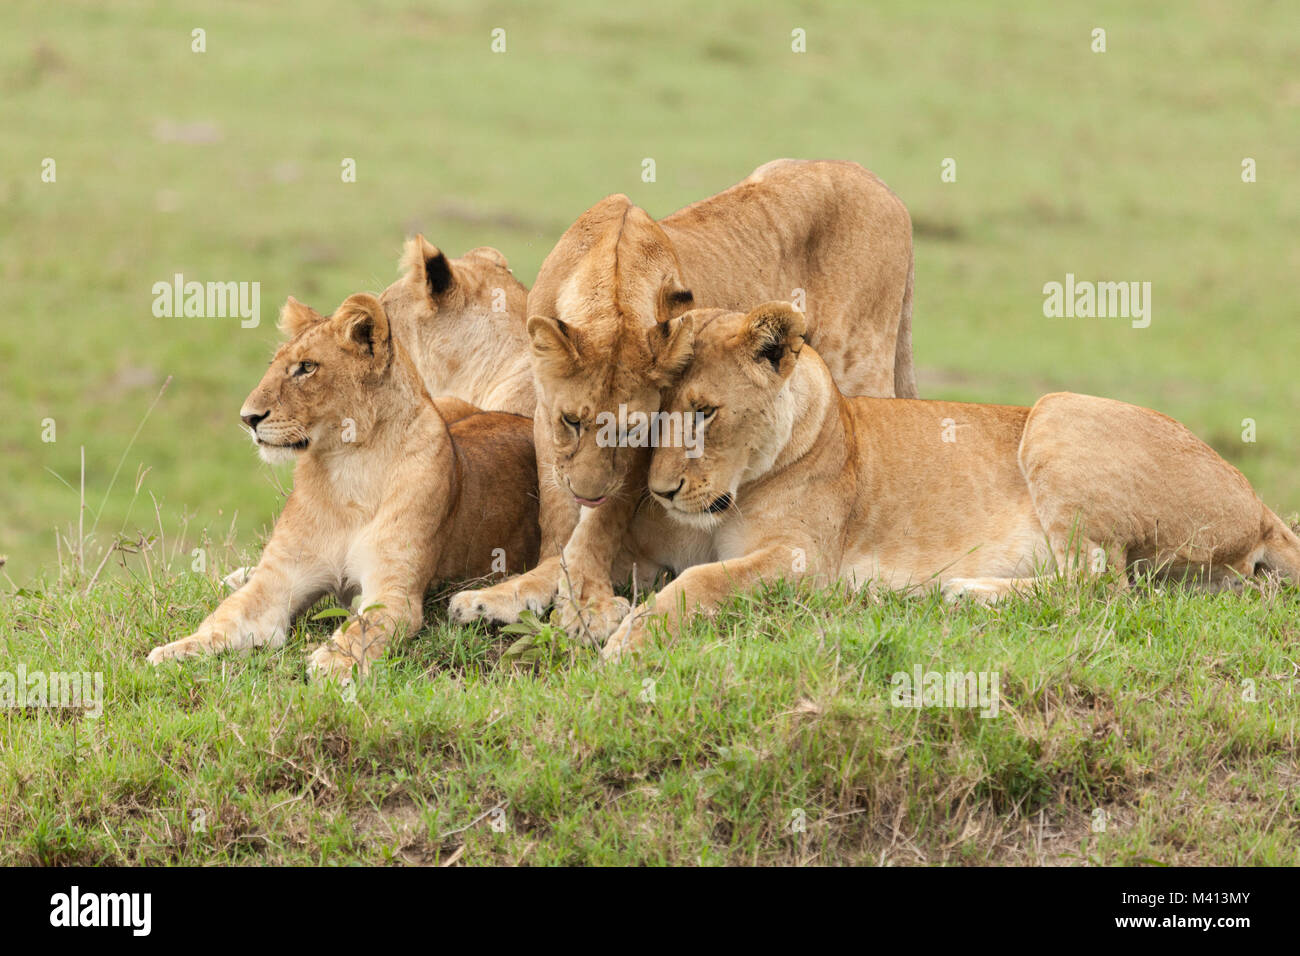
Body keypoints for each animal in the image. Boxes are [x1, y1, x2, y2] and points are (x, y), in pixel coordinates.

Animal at [147, 293, 538, 681]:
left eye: (306, 367)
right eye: (275, 364)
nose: (248, 418)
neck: (348, 466)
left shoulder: (394, 591)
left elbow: (365, 625)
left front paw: (333, 662)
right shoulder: (277, 581)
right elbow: (226, 616)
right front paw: (175, 651)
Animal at [598, 303, 1300, 660]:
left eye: (705, 412)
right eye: (656, 413)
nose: (660, 491)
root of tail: (1261, 504)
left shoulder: (804, 560)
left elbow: (703, 580)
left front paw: (632, 638)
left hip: (1055, 413)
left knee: (1099, 587)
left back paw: (963, 590)